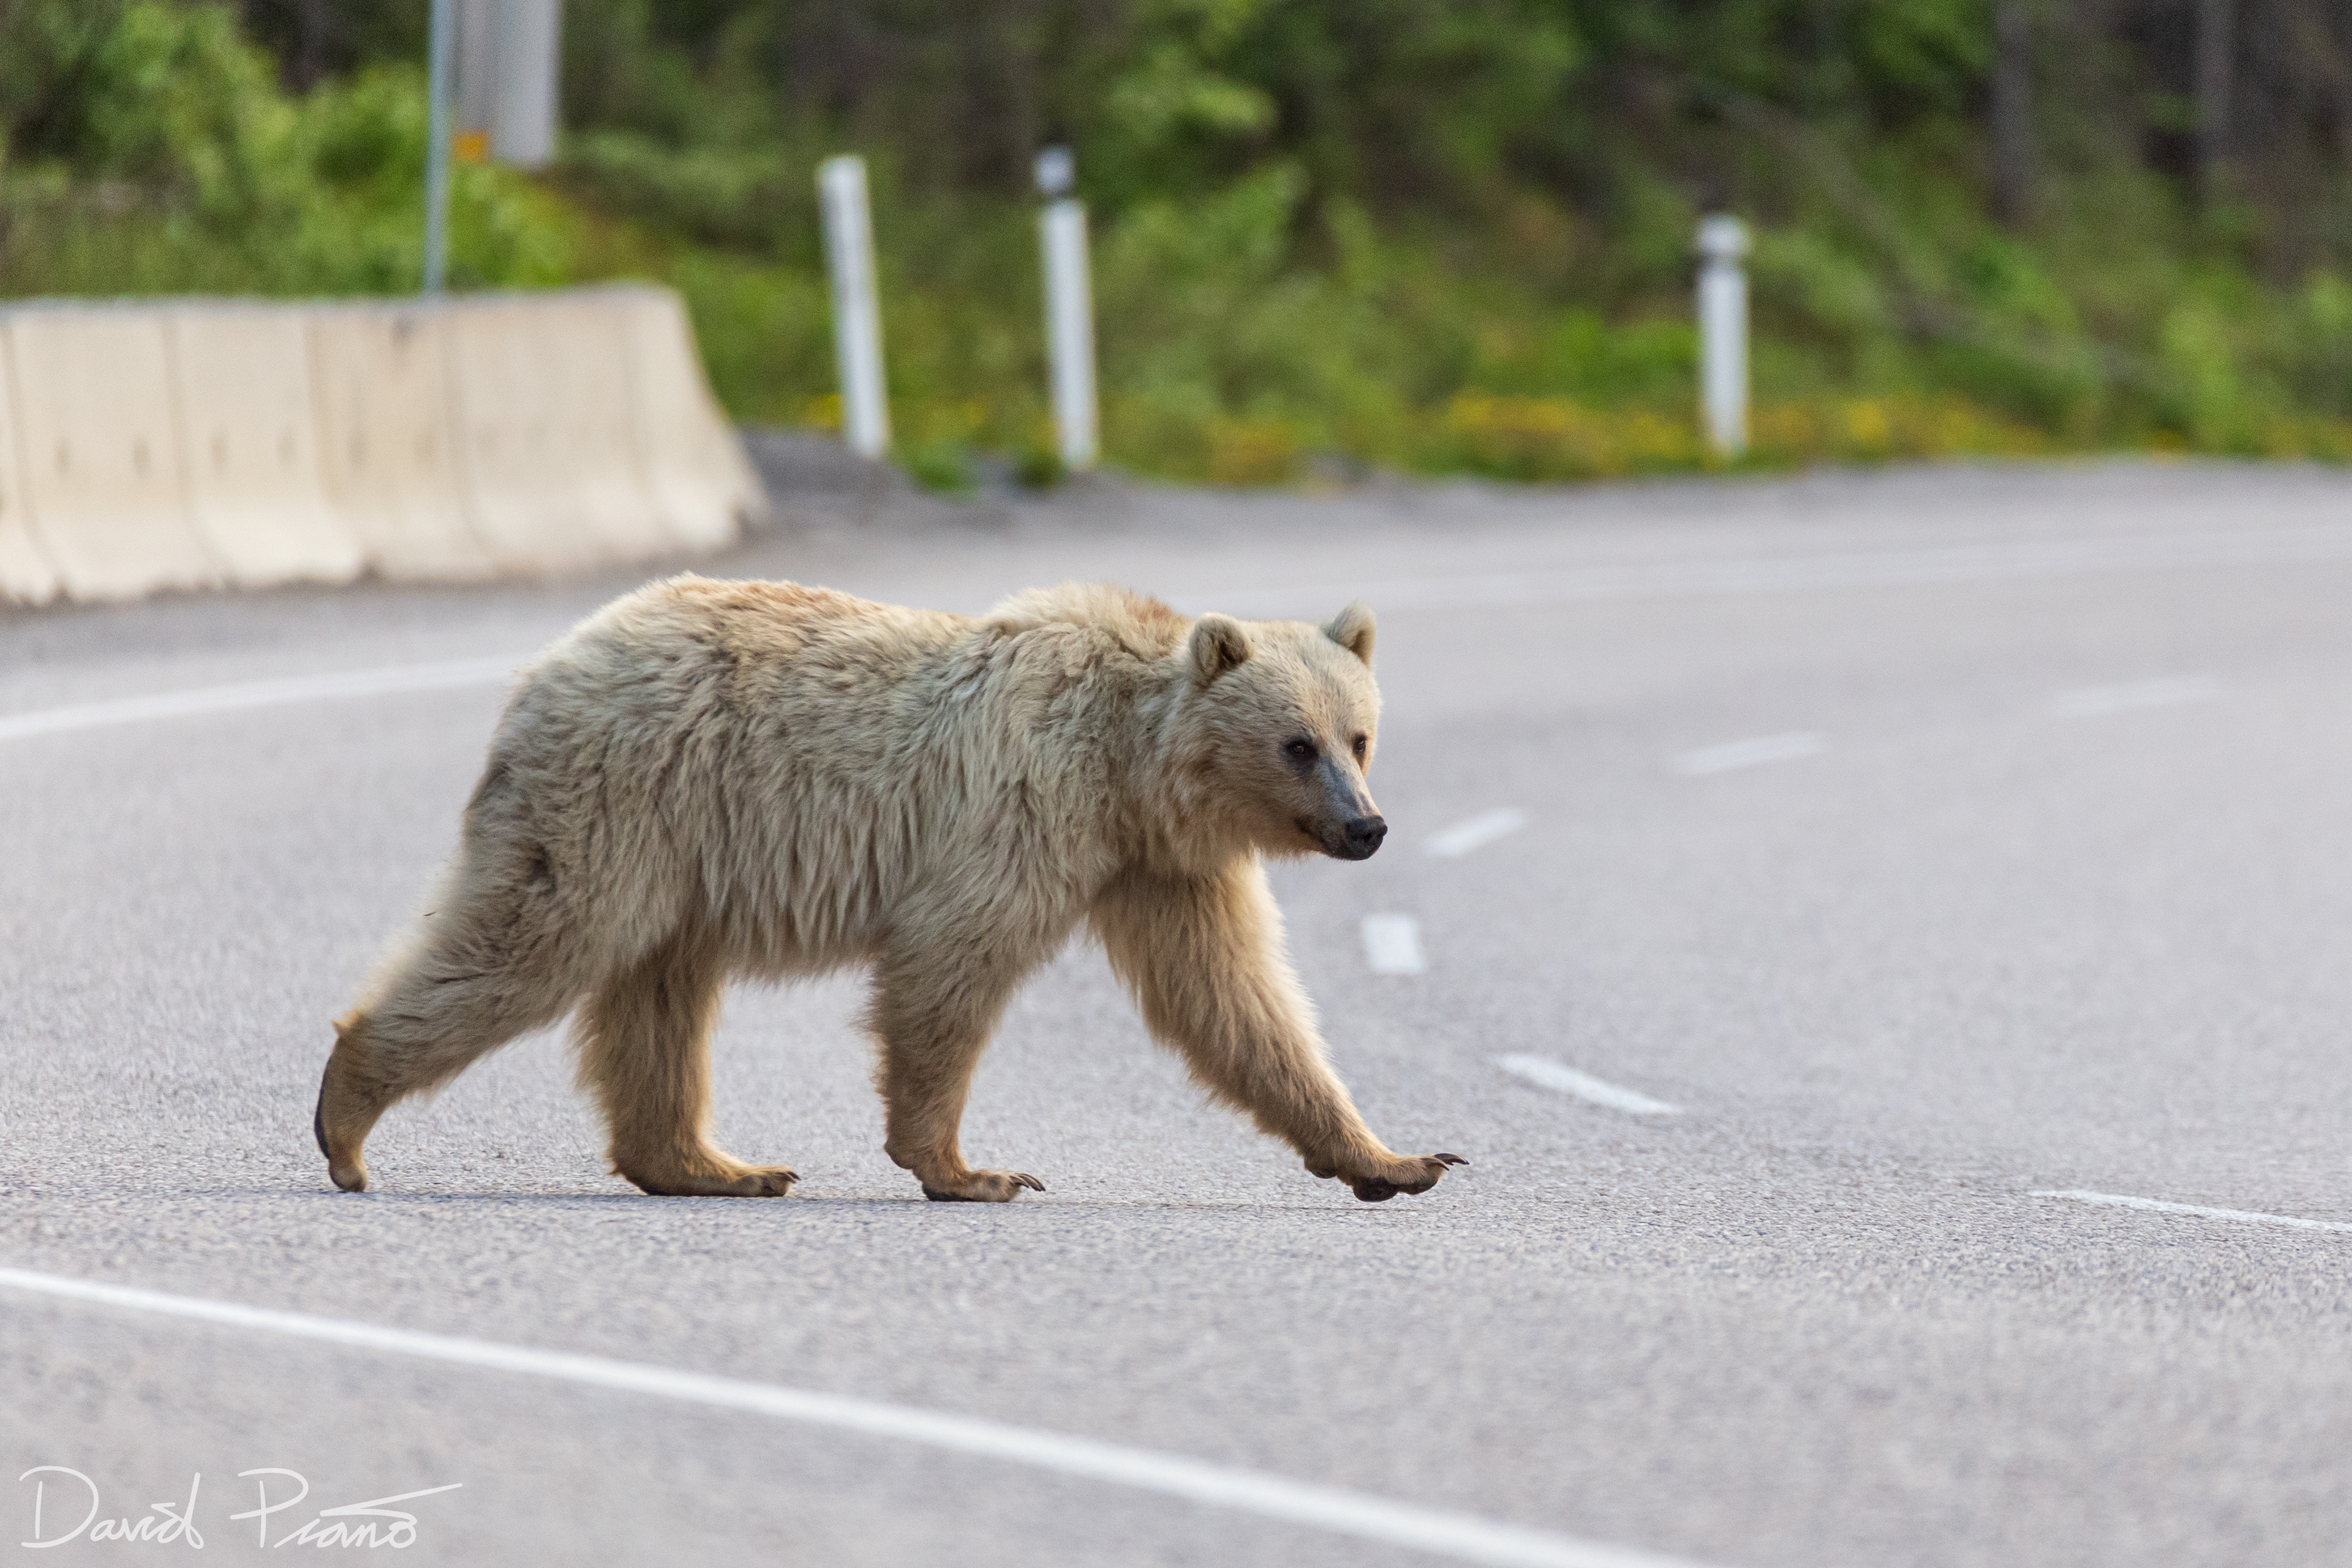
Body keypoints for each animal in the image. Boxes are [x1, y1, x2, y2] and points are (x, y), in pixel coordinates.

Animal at [314, 575, 1465, 1204]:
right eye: (1296, 743)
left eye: (1361, 735)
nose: (1366, 827)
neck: (1129, 768)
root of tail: (549, 664)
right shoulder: (1024, 813)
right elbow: (952, 965)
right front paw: (972, 1169)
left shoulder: (1161, 868)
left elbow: (1237, 1004)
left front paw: (1397, 1158)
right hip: (624, 803)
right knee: (537, 940)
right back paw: (347, 1115)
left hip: (682, 860)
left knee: (659, 1000)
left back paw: (714, 1164)